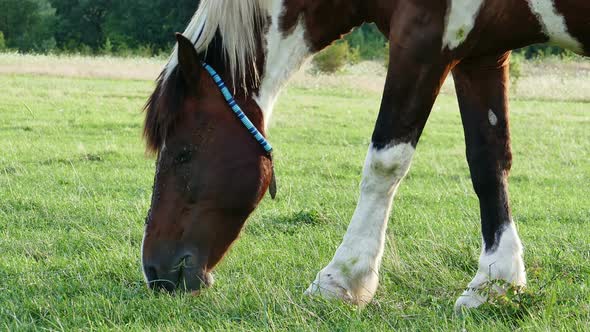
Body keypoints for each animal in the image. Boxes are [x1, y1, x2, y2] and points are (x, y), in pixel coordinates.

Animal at [141, 0, 588, 312]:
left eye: (183, 154)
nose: (155, 272)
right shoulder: (481, 54)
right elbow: (488, 161)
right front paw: (495, 281)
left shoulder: (423, 41)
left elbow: (384, 162)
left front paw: (342, 278)